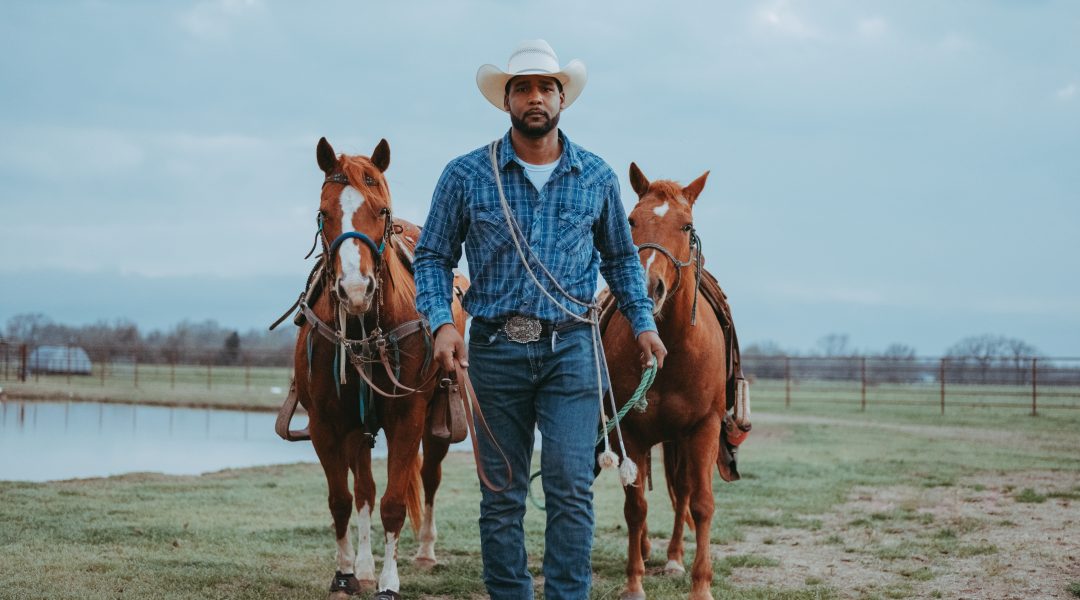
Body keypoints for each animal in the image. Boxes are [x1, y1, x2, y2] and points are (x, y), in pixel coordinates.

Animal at [293, 137, 466, 600]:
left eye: (381, 210)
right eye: (324, 212)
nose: (356, 289)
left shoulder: (408, 417)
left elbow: (393, 504)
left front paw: (389, 582)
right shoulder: (327, 424)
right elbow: (343, 500)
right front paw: (347, 573)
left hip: (436, 420)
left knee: (429, 475)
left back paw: (424, 551)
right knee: (365, 490)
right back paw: (366, 565)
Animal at [604, 162, 747, 600]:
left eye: (686, 226)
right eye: (631, 221)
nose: (650, 288)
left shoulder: (702, 429)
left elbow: (700, 503)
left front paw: (701, 584)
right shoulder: (631, 430)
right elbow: (635, 506)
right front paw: (634, 582)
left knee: (682, 491)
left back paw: (673, 559)